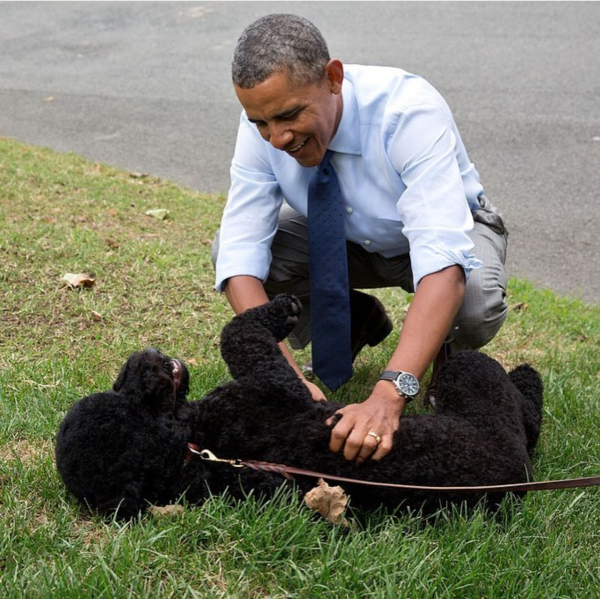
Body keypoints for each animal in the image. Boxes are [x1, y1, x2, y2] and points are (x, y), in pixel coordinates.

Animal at [56, 296, 544, 520]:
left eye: (123, 385)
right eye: (133, 393)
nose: (146, 358)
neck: (190, 449)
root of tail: (514, 480)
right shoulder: (272, 383)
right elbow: (238, 334)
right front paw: (282, 309)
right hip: (476, 379)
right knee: (527, 411)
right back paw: (526, 376)